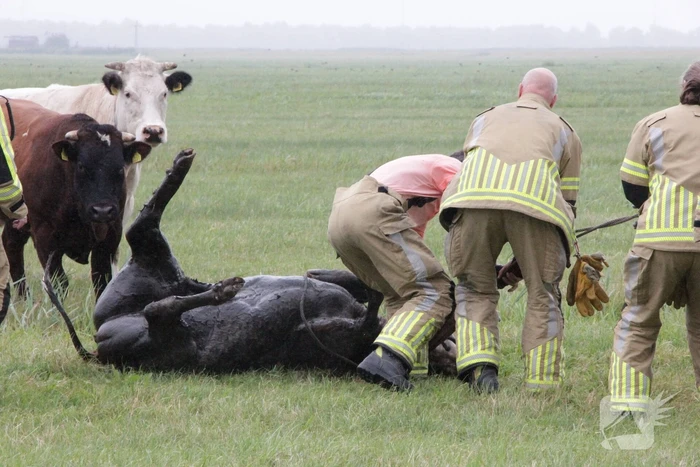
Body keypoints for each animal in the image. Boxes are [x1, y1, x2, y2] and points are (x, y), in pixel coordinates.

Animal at [1, 99, 151, 315]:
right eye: (81, 166)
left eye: (119, 167)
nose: (102, 210)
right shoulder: (45, 237)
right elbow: (59, 281)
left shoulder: (110, 234)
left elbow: (102, 280)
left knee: (11, 244)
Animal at [45, 149, 458, 377]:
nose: (447, 350)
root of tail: (100, 339)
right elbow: (342, 281)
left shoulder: (341, 335)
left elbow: (368, 314)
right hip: (148, 277)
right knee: (151, 253)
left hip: (160, 325)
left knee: (158, 301)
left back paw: (220, 289)